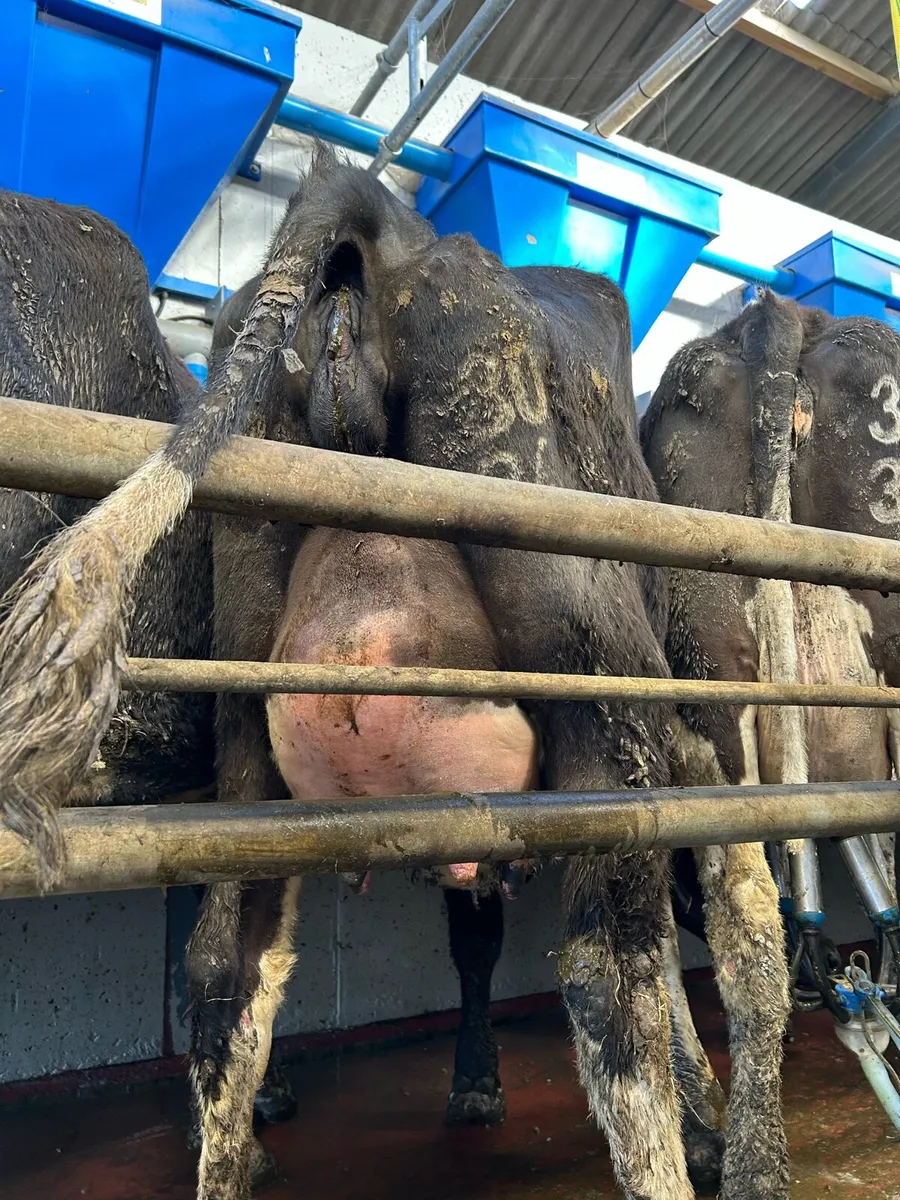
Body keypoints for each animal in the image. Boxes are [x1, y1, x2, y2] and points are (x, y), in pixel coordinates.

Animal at [0, 146, 784, 1200]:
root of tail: (382, 218)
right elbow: (739, 927)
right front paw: (739, 1148)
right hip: (596, 676)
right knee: (609, 967)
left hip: (249, 725)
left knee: (226, 966)